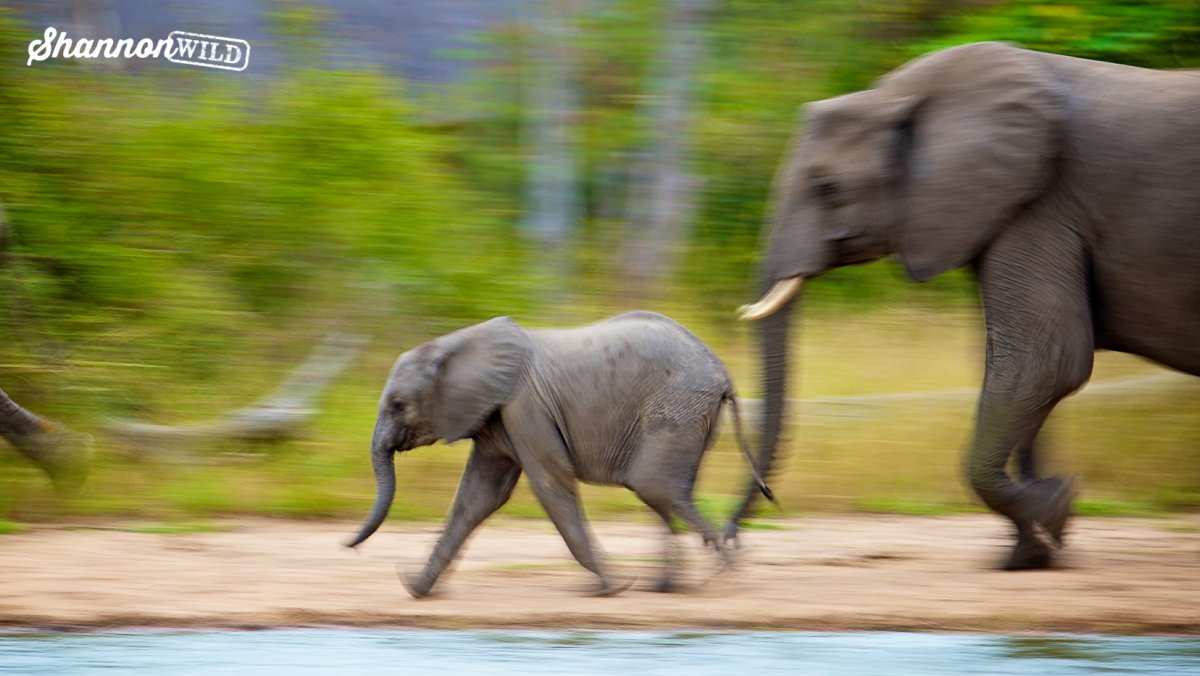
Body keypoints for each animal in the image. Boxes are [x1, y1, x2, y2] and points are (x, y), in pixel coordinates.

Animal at [345, 311, 772, 597]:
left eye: (398, 405)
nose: (349, 546)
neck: (454, 343)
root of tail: (723, 373)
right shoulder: (497, 417)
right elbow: (478, 496)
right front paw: (418, 589)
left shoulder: (525, 408)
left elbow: (550, 484)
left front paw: (614, 586)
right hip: (691, 418)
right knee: (669, 492)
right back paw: (669, 586)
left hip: (677, 410)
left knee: (656, 487)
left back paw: (722, 575)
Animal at [728, 41, 1199, 570]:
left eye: (827, 187)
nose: (736, 535)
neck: (897, 98)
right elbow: (1012, 366)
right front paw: (1031, 552)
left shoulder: (1041, 204)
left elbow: (1044, 362)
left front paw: (1052, 514)